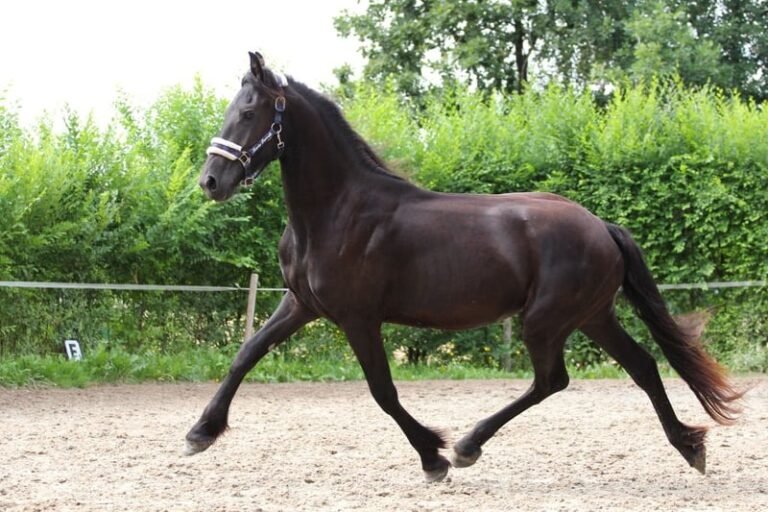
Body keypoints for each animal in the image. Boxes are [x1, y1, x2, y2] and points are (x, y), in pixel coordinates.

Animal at [186, 52, 742, 483]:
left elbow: (383, 391)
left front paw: (433, 457)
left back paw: (469, 446)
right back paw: (690, 446)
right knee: (643, 367)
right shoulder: (302, 303)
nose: (210, 181)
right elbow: (246, 353)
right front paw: (200, 433)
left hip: (546, 321)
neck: (338, 211)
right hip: (591, 316)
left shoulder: (357, 318)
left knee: (553, 380)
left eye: (249, 111)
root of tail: (601, 227)